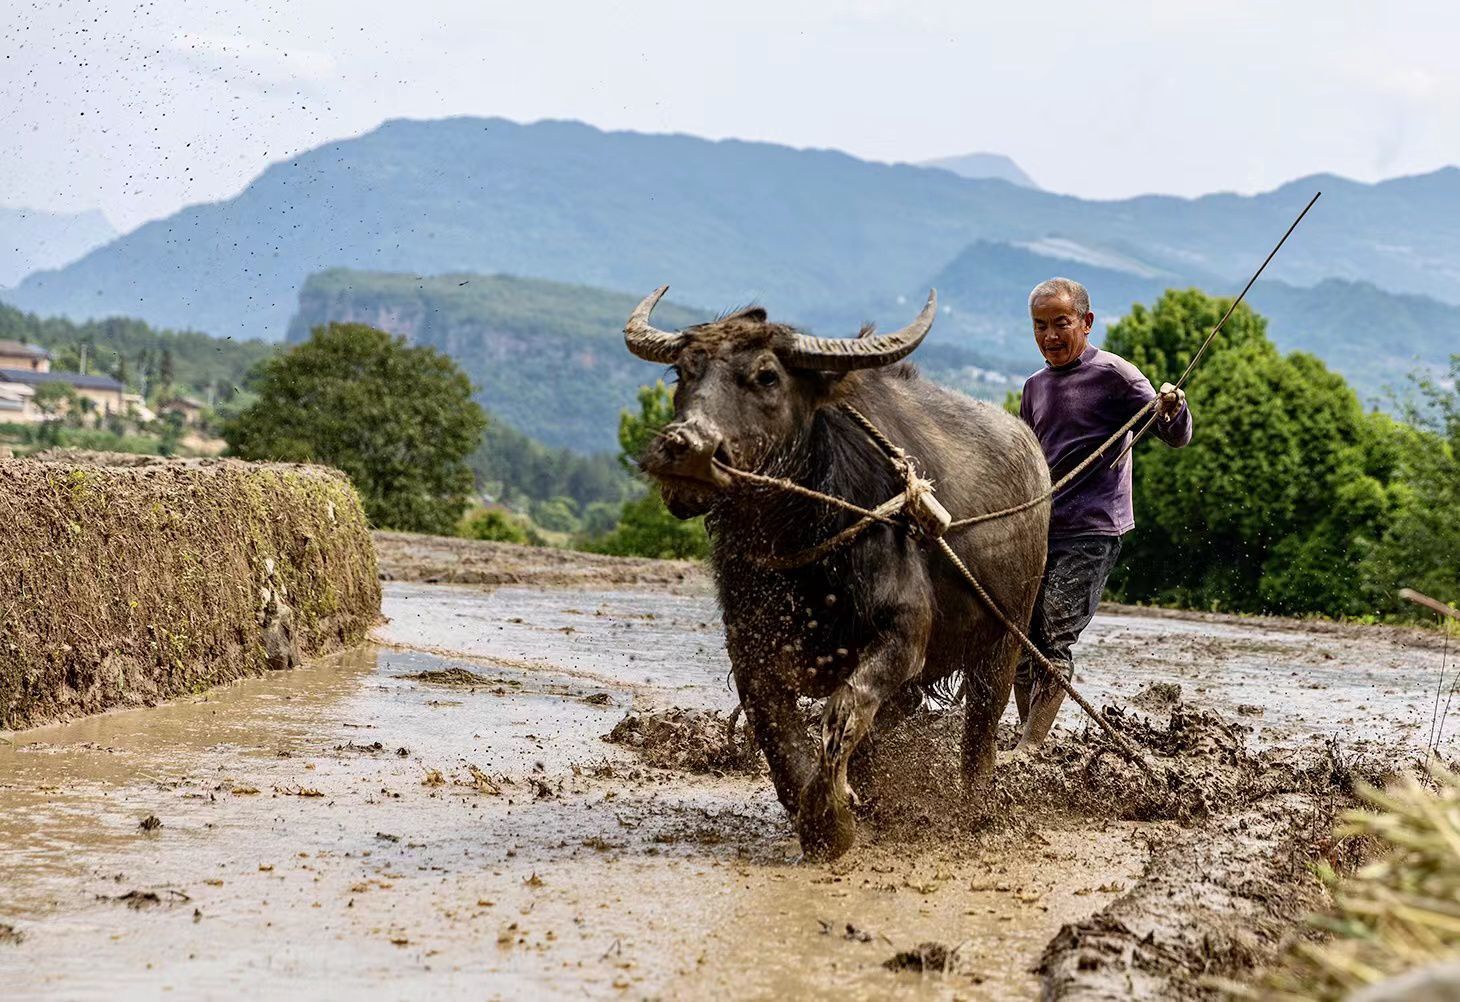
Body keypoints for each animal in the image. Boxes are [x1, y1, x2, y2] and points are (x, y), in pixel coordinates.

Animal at [624, 286, 1051, 858]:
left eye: (767, 375)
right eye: (683, 373)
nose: (685, 448)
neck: (801, 539)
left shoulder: (903, 635)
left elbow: (844, 710)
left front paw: (830, 819)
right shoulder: (751, 645)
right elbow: (777, 732)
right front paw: (822, 806)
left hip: (1004, 640)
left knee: (981, 725)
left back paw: (975, 808)